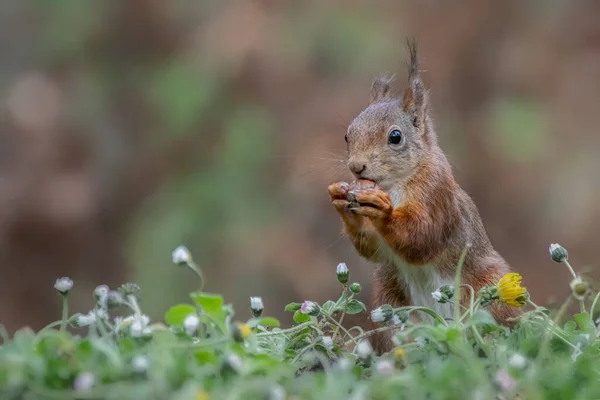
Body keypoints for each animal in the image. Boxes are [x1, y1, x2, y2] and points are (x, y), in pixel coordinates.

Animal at [328, 40, 520, 354]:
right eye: (347, 135)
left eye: (395, 137)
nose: (356, 166)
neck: (394, 184)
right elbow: (372, 248)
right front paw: (341, 202)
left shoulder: (436, 192)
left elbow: (422, 237)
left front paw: (383, 212)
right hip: (390, 299)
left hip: (487, 290)